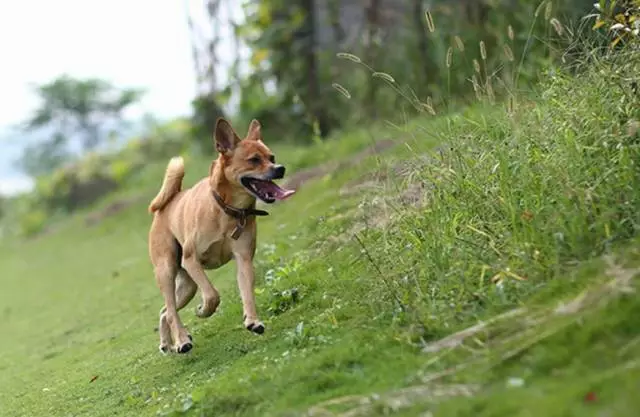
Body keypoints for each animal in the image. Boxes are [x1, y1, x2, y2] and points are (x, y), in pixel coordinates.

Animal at [147, 118, 296, 354]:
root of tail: (171, 199)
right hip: (167, 271)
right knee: (171, 311)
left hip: (187, 286)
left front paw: (253, 321)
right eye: (254, 160)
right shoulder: (191, 260)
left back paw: (167, 342)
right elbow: (212, 294)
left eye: (272, 158)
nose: (280, 169)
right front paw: (204, 310)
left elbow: (247, 293)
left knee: (165, 311)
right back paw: (182, 341)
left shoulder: (244, 259)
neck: (227, 210)